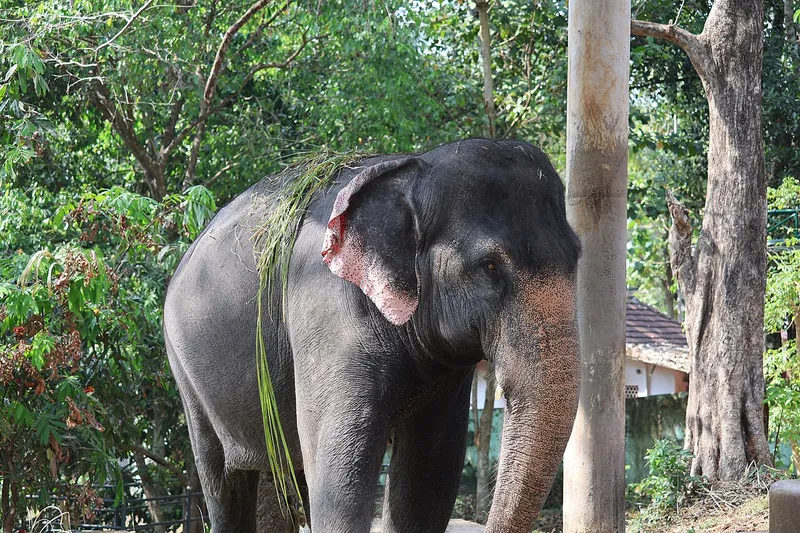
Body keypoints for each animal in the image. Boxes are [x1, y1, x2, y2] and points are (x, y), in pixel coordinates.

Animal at [163, 138, 581, 533]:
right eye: (489, 266)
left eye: (577, 256)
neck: (413, 170)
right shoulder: (326, 310)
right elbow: (340, 475)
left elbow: (430, 472)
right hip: (186, 373)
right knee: (224, 484)